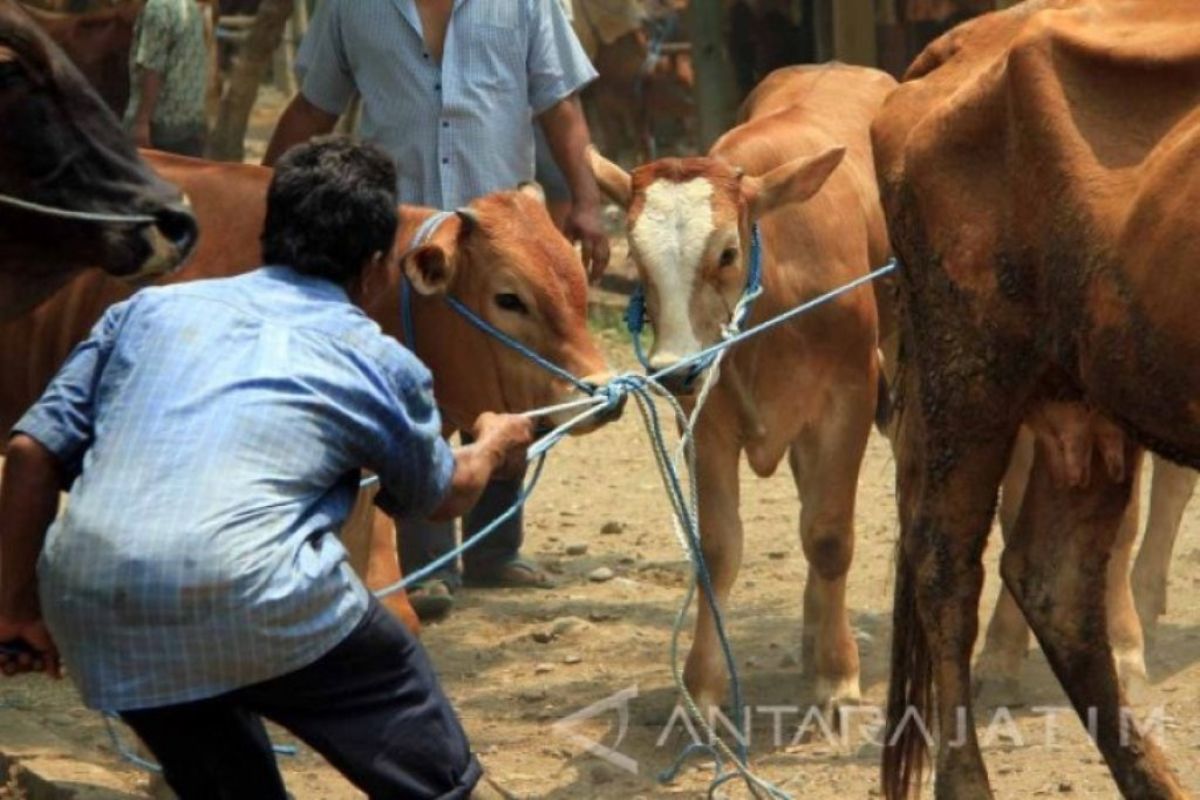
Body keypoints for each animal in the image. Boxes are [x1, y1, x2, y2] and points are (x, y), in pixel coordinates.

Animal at [585, 64, 897, 714]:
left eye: (727, 252)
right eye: (639, 263)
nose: (673, 368)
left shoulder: (849, 398)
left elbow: (829, 536)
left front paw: (838, 674)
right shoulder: (706, 415)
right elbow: (718, 548)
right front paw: (703, 684)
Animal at [873, 3, 1200, 796]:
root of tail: (971, 37)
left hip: (1086, 402)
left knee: (1054, 579)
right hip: (969, 376)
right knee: (945, 563)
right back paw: (966, 781)